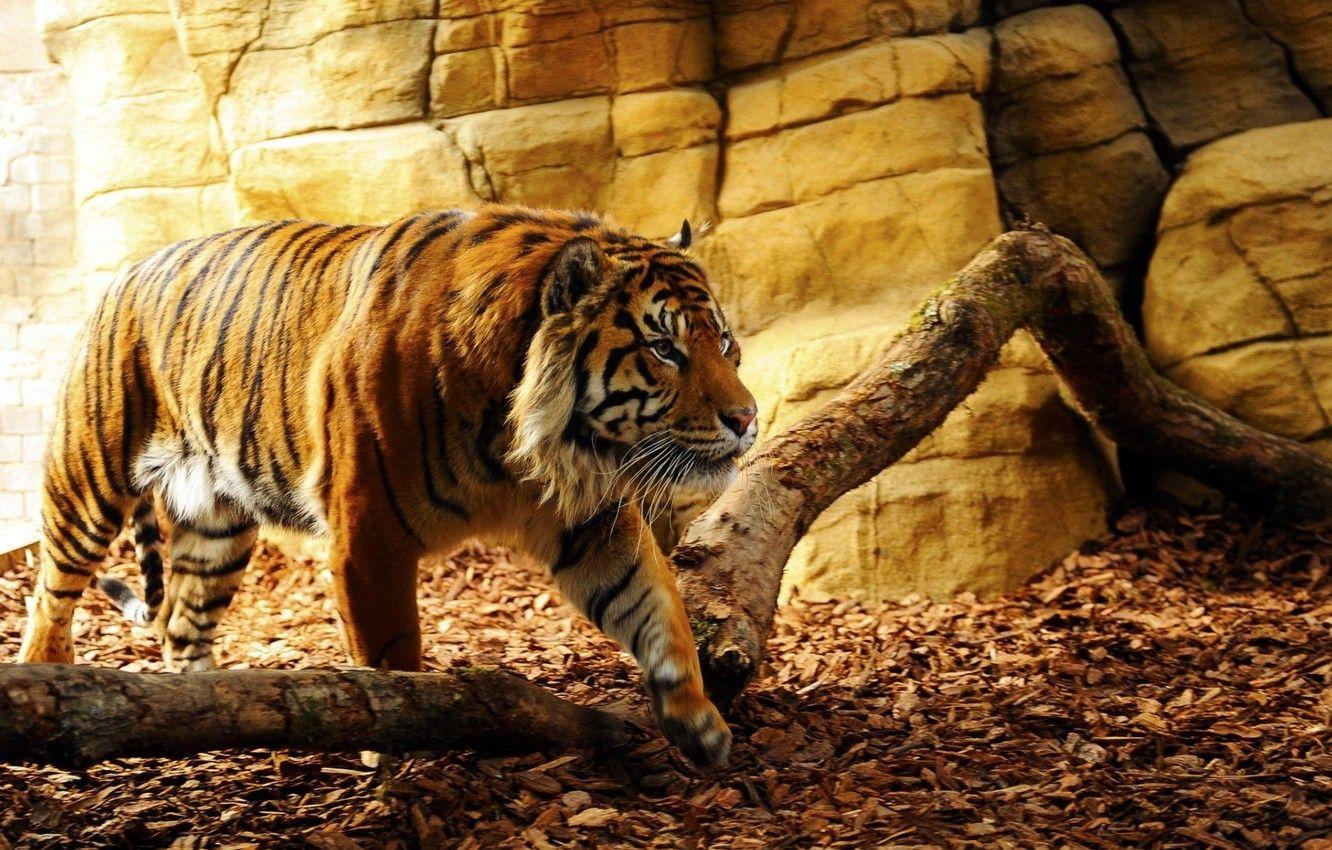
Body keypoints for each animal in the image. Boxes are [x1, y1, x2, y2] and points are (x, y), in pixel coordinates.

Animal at [17, 205, 759, 767]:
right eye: (665, 350)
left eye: (725, 343)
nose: (748, 419)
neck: (529, 440)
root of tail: (124, 273)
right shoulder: (369, 537)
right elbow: (395, 656)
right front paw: (406, 752)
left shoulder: (590, 520)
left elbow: (657, 604)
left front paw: (698, 721)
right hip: (88, 479)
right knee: (50, 594)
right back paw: (51, 674)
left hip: (217, 525)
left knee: (181, 623)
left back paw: (211, 712)